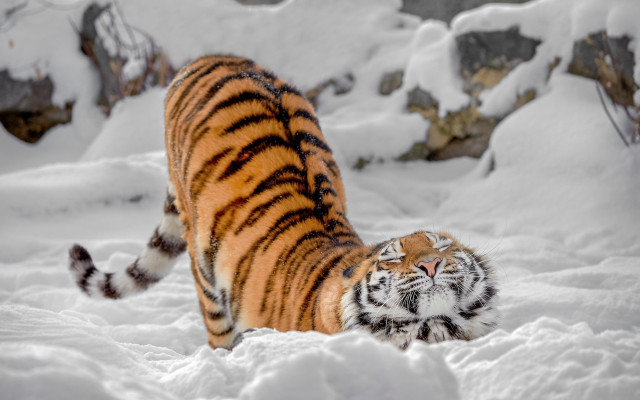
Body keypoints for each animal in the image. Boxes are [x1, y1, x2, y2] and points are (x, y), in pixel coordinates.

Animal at [69, 54, 499, 350]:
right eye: (392, 257)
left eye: (442, 246)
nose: (430, 264)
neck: (432, 327)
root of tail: (209, 57)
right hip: (204, 268)